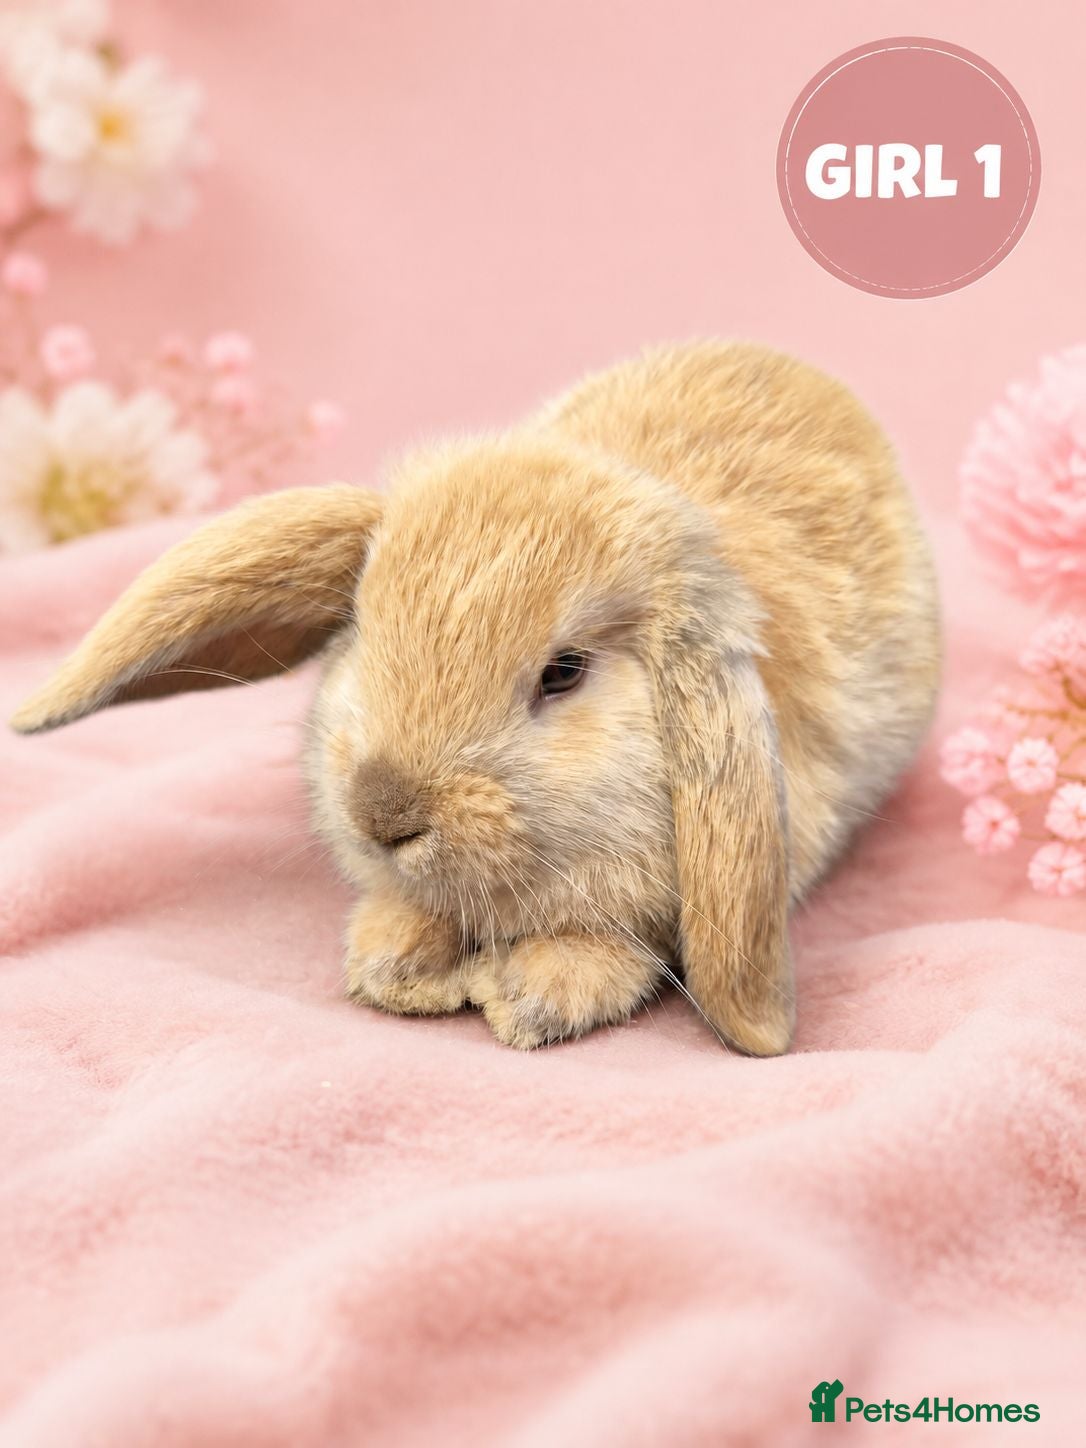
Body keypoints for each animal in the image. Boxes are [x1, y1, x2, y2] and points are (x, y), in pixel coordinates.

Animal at [10, 341, 940, 1055]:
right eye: (361, 625)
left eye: (564, 672)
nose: (382, 812)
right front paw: (397, 963)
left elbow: (614, 944)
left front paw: (529, 996)